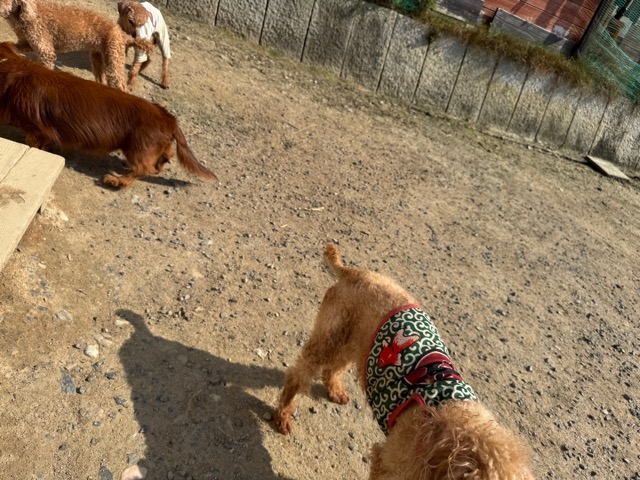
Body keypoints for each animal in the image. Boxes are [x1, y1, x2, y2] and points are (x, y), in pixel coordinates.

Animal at [0, 0, 153, 91]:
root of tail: (122, 33)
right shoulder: (27, 43)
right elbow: (9, 45)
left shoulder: (45, 51)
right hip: (97, 58)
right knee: (102, 80)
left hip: (113, 61)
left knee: (121, 87)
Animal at [0, 42, 217, 188]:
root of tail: (169, 119)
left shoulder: (35, 127)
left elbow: (34, 140)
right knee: (165, 157)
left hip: (136, 148)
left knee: (144, 169)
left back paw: (118, 180)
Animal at [275, 244, 535, 479]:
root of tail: (353, 271)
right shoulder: (388, 461)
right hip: (331, 337)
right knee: (299, 374)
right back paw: (283, 415)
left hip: (357, 344)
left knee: (333, 369)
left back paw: (336, 391)